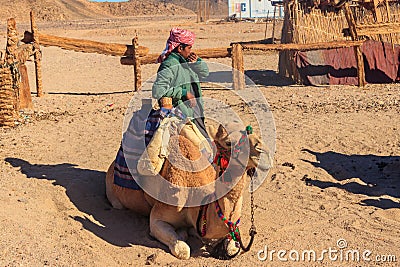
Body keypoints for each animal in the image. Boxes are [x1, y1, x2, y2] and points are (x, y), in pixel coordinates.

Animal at [104, 123, 274, 260]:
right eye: (228, 142)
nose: (264, 152)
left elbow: (232, 245)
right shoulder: (158, 217)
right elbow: (183, 250)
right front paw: (183, 233)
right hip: (114, 195)